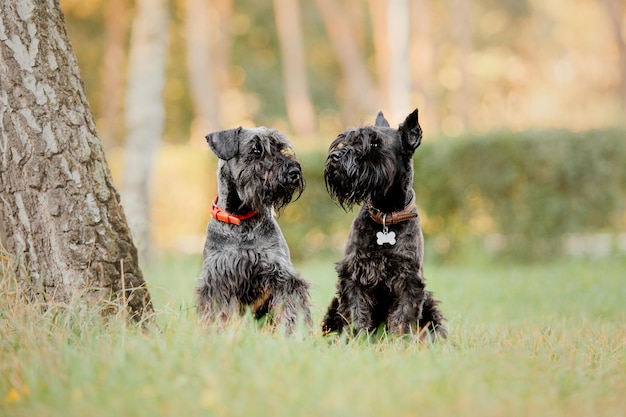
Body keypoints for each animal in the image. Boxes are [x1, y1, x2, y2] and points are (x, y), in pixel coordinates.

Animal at [196, 126, 310, 332]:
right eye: (256, 150)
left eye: (280, 147)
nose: (294, 171)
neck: (241, 218)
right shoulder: (218, 279)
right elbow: (218, 312)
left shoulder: (281, 275)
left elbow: (289, 307)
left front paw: (291, 332)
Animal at [320, 109, 446, 340]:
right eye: (347, 139)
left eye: (375, 143)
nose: (336, 156)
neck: (386, 215)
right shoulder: (354, 274)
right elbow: (356, 312)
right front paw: (357, 340)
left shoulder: (409, 280)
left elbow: (403, 317)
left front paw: (400, 342)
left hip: (429, 302)